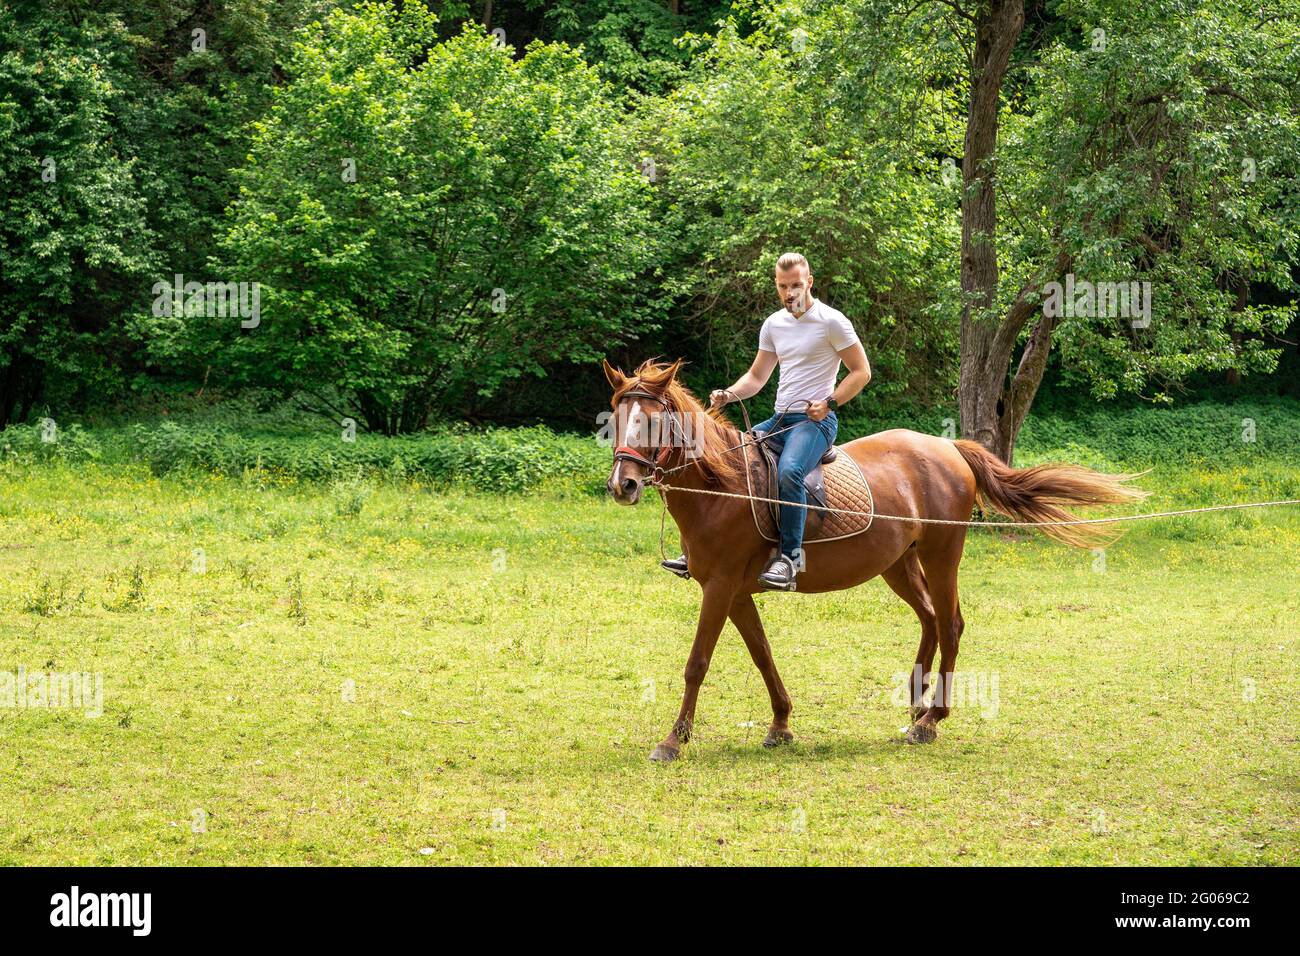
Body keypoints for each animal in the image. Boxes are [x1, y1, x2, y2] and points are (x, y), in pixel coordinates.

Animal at [603, 357, 1147, 761]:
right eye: (615, 419)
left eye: (654, 421)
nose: (622, 485)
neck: (723, 487)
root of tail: (949, 447)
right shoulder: (736, 592)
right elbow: (763, 656)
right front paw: (780, 724)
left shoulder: (719, 588)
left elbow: (697, 662)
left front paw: (672, 741)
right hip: (898, 564)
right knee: (931, 619)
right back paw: (916, 701)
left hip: (941, 554)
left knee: (951, 623)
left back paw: (931, 720)